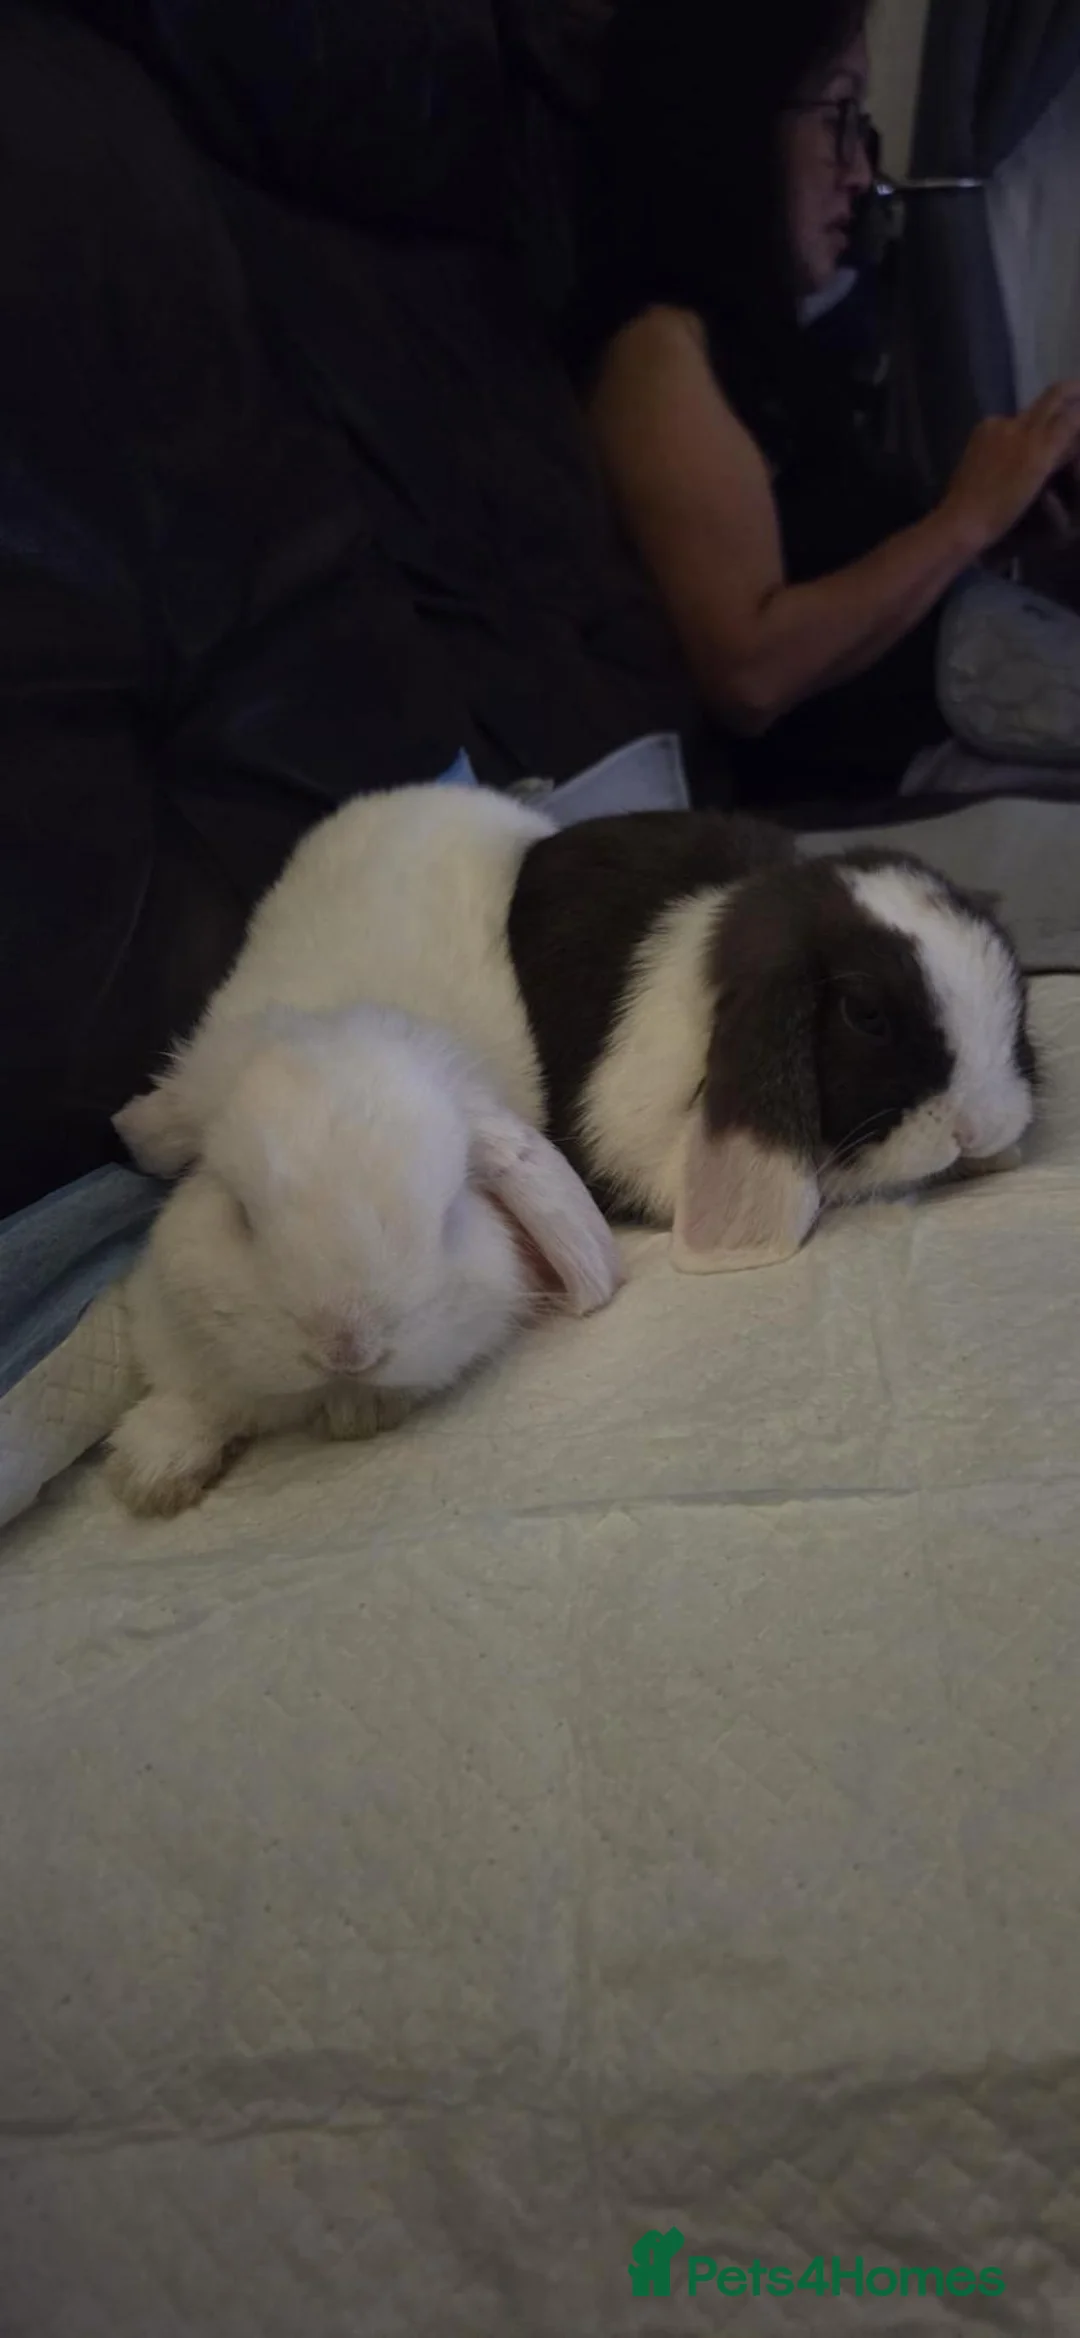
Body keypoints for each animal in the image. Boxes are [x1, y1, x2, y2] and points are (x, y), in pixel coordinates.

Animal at [106, 1001, 622, 1516]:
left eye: (449, 1215)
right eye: (241, 1214)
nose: (347, 1353)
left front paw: (356, 1415)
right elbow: (191, 1399)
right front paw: (154, 1476)